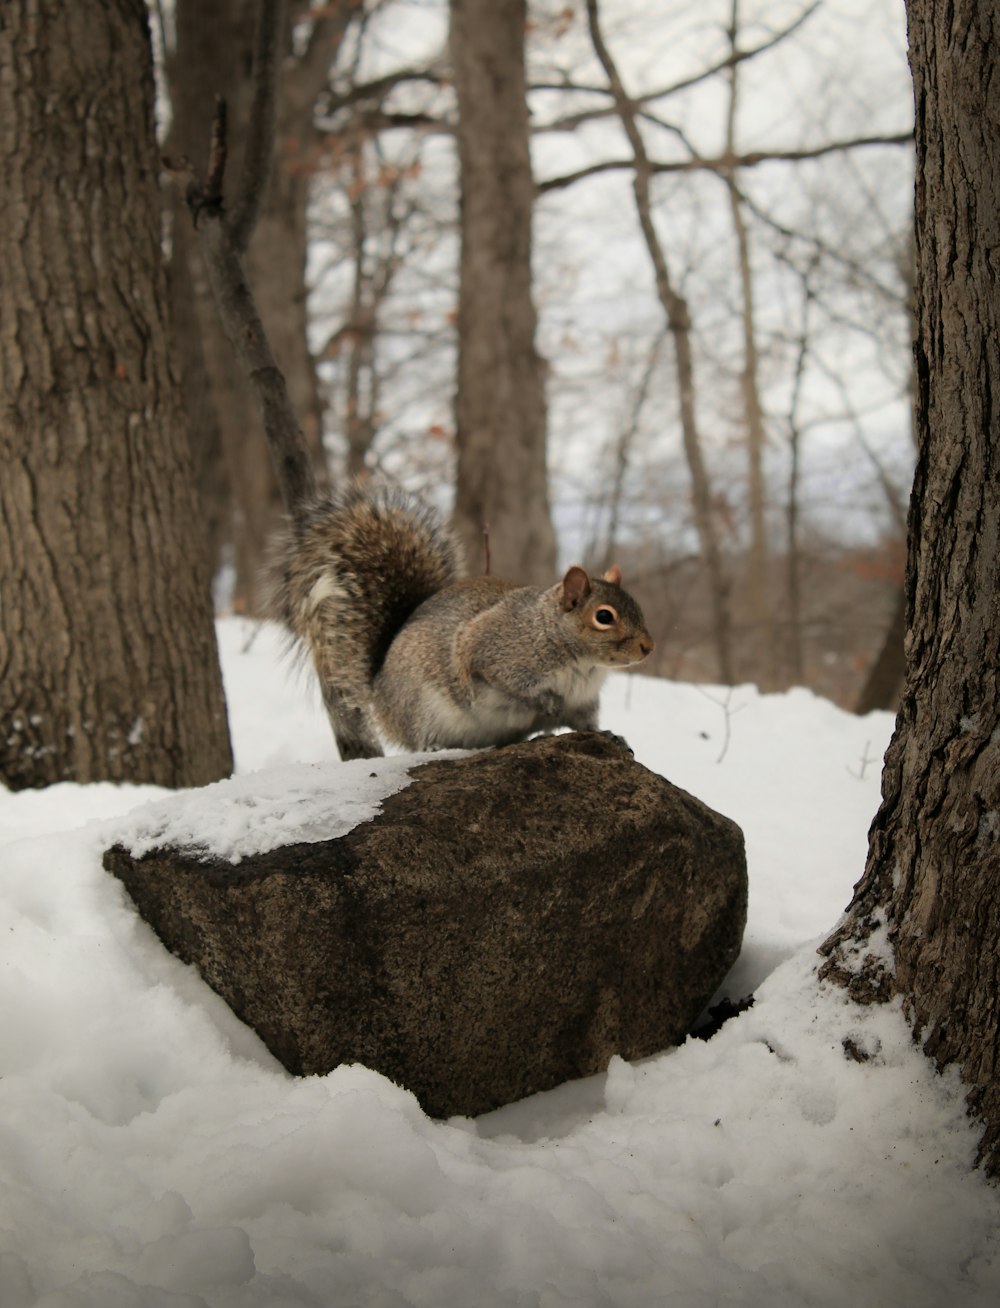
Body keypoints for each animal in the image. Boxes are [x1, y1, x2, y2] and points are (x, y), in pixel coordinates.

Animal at [266, 483, 656, 763]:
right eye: (604, 616)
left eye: (637, 605)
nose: (648, 648)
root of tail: (377, 690)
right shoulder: (494, 648)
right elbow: (504, 678)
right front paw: (545, 702)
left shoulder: (584, 701)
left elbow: (586, 723)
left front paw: (609, 735)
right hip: (421, 706)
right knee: (419, 740)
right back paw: (438, 749)